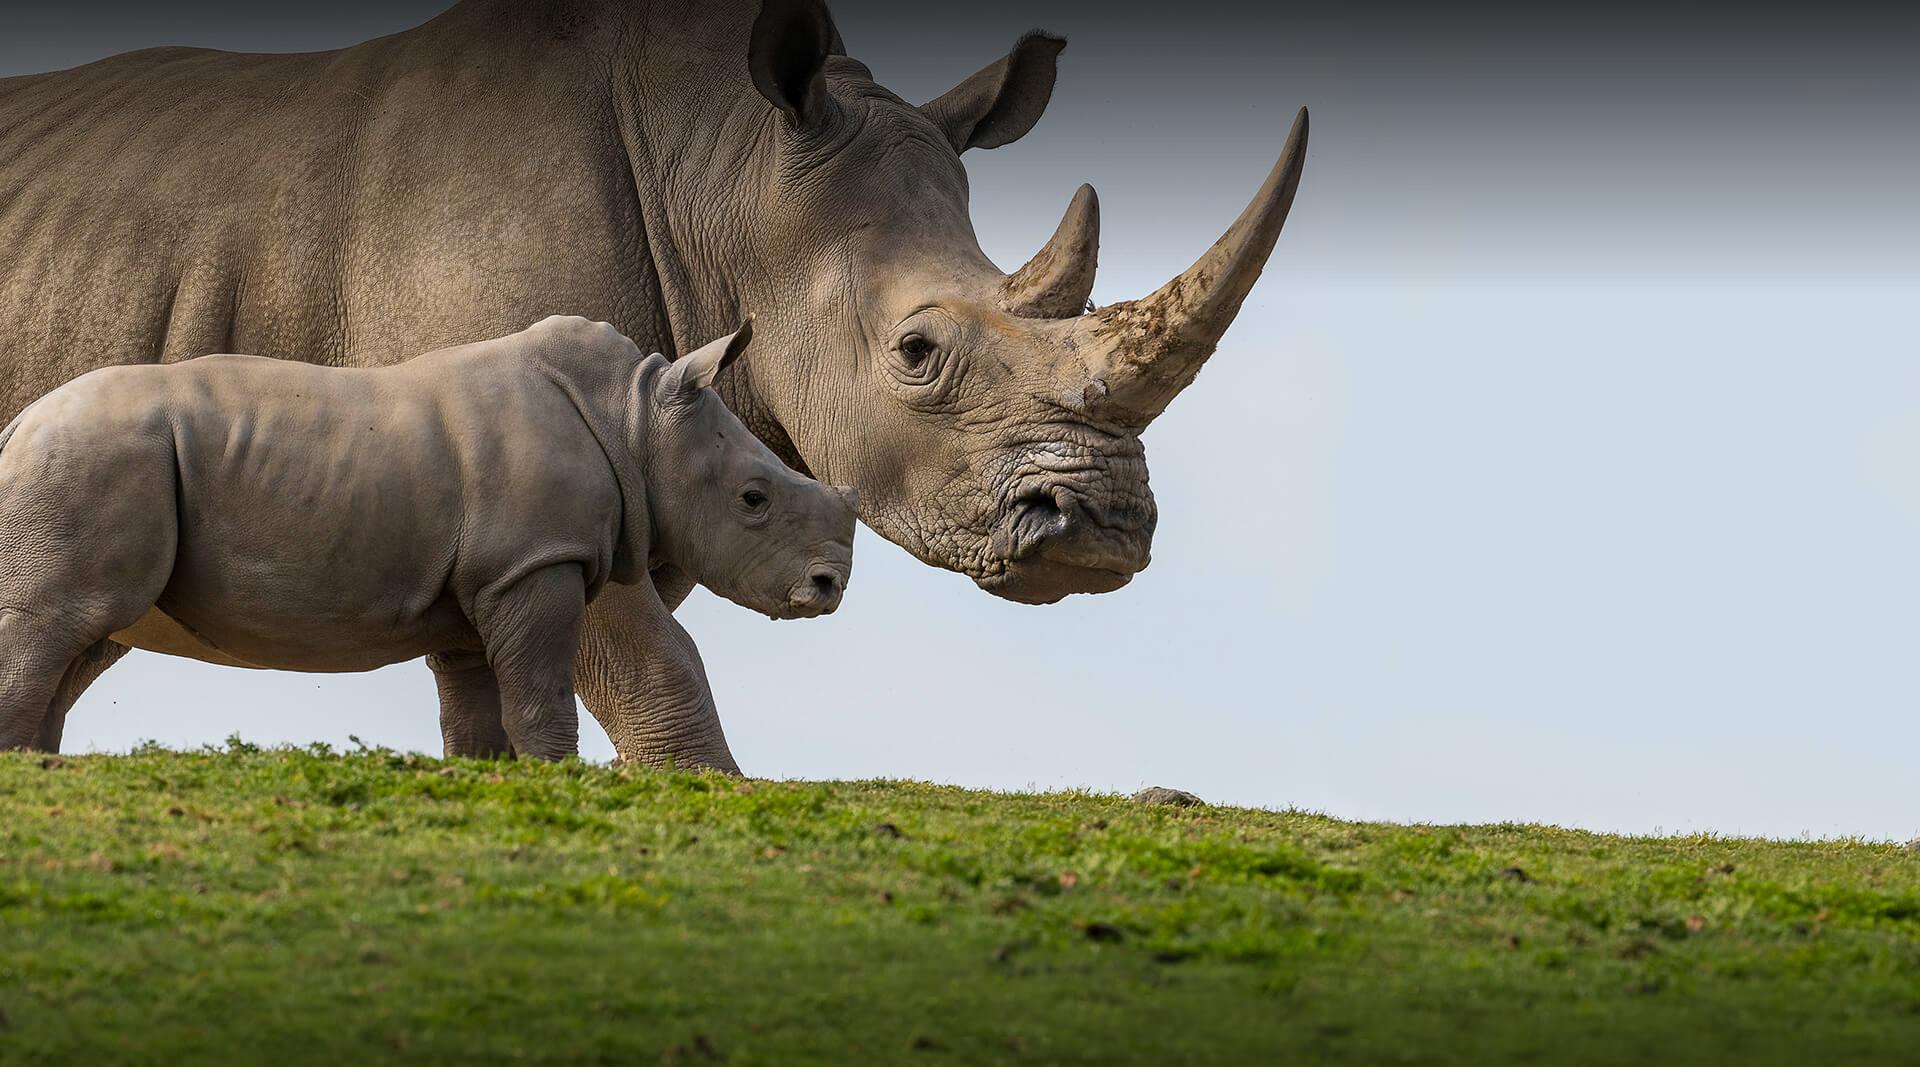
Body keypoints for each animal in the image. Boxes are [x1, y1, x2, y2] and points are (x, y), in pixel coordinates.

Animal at [0, 316, 856, 759]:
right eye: (754, 498)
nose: (829, 586)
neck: (637, 413)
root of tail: (18, 424)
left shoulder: (483, 584)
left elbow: (478, 713)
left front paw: (497, 783)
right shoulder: (535, 563)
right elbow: (542, 698)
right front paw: (557, 776)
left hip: (86, 460)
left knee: (72, 638)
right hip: (94, 455)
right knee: (59, 623)